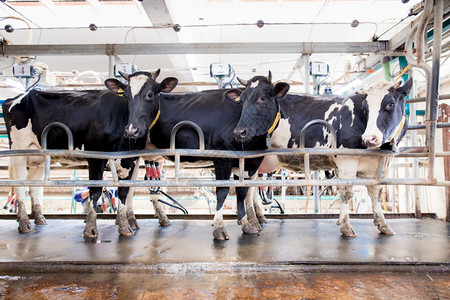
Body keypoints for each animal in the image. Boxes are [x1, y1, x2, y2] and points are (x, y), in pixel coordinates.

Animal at [2, 69, 178, 238]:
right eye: (126, 96)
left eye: (150, 94)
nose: (132, 130)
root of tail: (21, 96)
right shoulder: (96, 156)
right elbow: (95, 191)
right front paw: (91, 227)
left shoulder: (131, 159)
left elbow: (125, 191)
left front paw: (124, 225)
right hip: (19, 150)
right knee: (20, 184)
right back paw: (24, 222)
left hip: (39, 155)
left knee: (35, 184)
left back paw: (39, 218)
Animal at [123, 72, 288, 239]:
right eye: (241, 101)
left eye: (263, 98)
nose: (239, 132)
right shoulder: (223, 158)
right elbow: (222, 192)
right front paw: (219, 228)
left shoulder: (248, 162)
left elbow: (242, 192)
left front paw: (246, 224)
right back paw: (125, 224)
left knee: (133, 185)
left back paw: (143, 220)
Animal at [234, 78, 414, 237]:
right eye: (366, 108)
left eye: (390, 103)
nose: (370, 138)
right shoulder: (346, 161)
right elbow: (346, 193)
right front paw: (346, 226)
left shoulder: (378, 166)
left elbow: (375, 194)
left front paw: (383, 225)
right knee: (248, 189)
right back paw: (252, 222)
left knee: (253, 189)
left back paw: (259, 218)